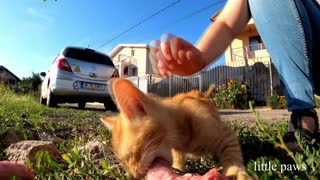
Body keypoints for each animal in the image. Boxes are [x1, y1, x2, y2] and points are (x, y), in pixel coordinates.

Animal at [101, 79, 249, 180]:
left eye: (131, 155)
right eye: (123, 162)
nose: (133, 176)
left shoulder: (228, 135)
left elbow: (232, 155)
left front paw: (235, 172)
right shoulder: (177, 148)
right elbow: (177, 155)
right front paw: (178, 167)